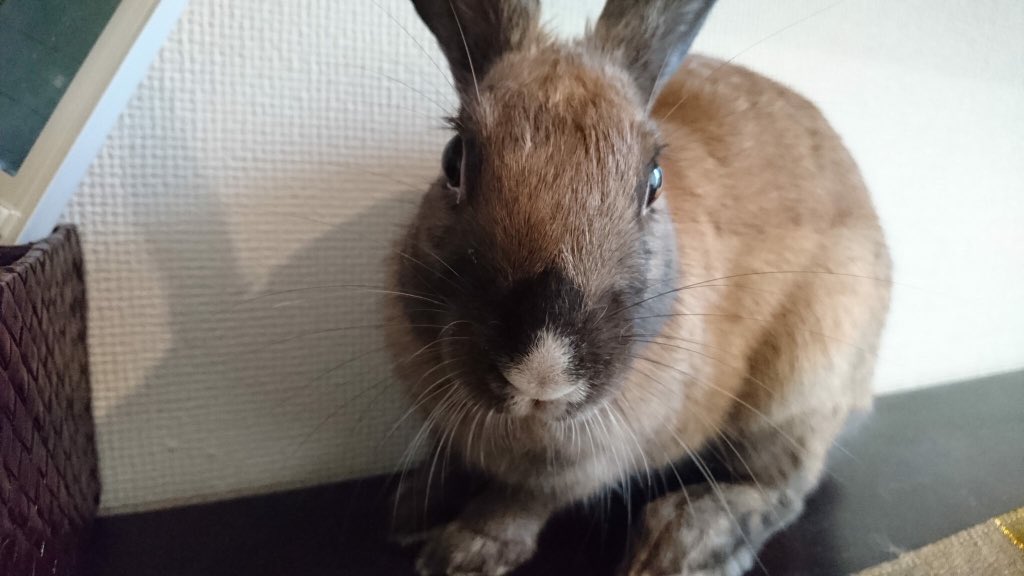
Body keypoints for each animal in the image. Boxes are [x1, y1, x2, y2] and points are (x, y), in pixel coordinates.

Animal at [383, 0, 892, 574]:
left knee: (783, 487)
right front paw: (409, 512)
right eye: (454, 159)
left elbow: (521, 501)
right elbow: (447, 460)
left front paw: (464, 551)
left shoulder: (584, 465)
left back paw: (681, 543)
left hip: (802, 390)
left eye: (654, 181)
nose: (542, 371)